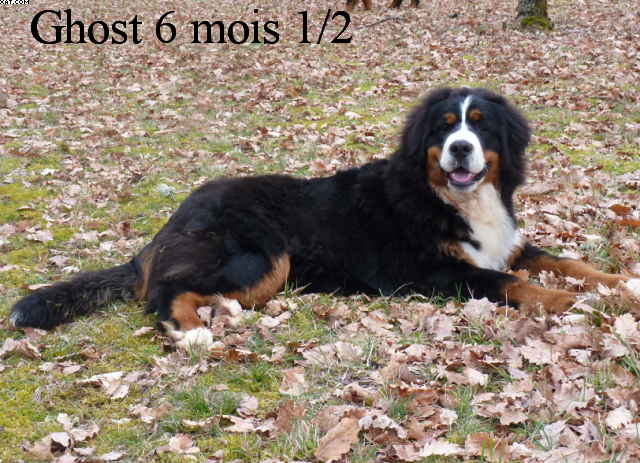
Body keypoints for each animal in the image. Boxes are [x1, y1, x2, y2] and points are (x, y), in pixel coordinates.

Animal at [10, 87, 632, 334]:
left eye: (479, 127)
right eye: (443, 128)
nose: (460, 149)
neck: (450, 197)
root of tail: (174, 218)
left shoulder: (506, 243)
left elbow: (568, 262)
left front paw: (620, 285)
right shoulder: (432, 271)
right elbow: (511, 282)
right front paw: (566, 303)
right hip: (262, 258)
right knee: (164, 292)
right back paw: (191, 334)